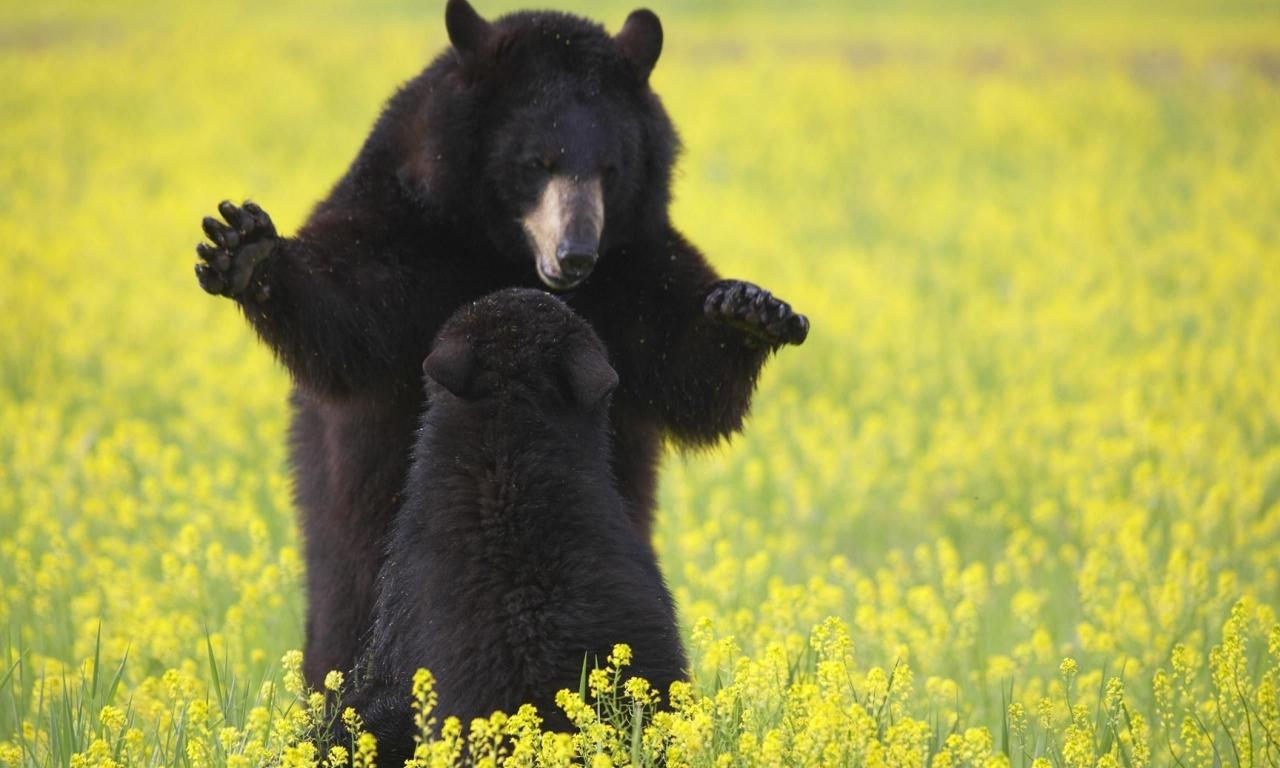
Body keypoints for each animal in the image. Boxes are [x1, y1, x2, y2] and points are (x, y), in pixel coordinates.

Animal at [193, 0, 803, 686]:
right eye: (537, 162)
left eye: (611, 168)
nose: (575, 254)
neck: (500, 250)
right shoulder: (408, 226)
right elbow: (349, 306)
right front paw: (248, 252)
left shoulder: (632, 267)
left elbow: (686, 364)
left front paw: (750, 312)